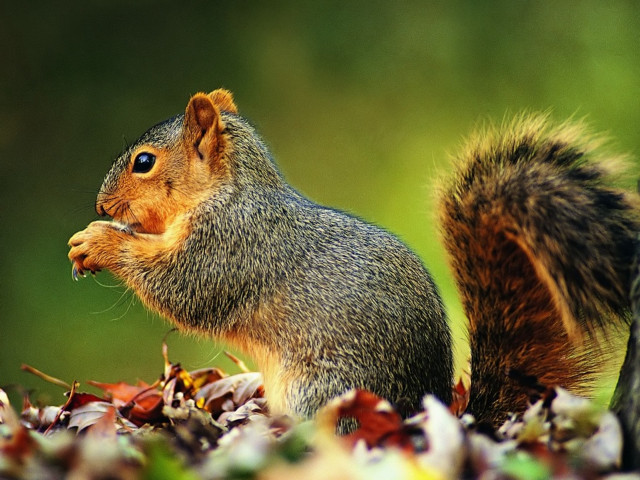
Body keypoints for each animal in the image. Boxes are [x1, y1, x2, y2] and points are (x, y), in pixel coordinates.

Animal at [68, 89, 639, 428]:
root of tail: (422, 411)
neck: (229, 191)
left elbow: (182, 288)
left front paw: (98, 241)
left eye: (144, 162)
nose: (100, 205)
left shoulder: (230, 246)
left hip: (322, 390)